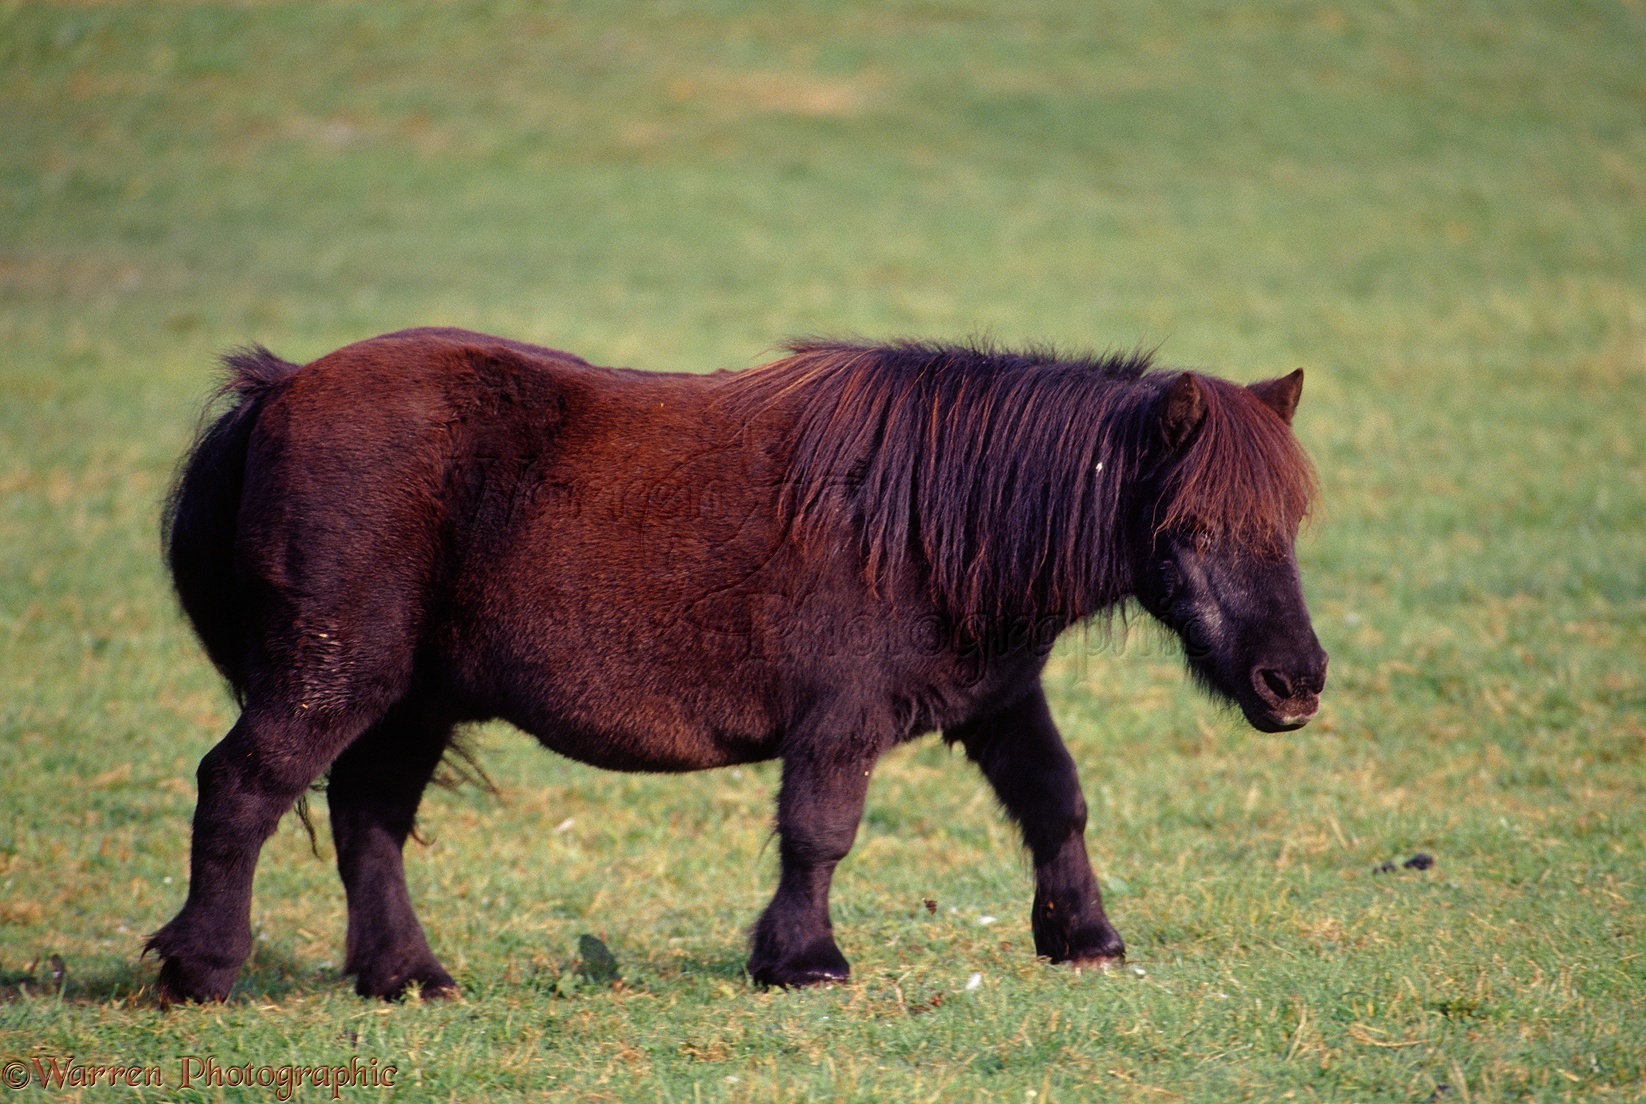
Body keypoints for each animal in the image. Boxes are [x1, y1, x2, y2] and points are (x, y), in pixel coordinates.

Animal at [151, 329, 1323, 1000]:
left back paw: (405, 978)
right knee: (243, 787)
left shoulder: (997, 703)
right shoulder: (841, 722)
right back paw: (201, 970)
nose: (1294, 683)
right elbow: (818, 835)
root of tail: (281, 388)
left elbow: (1055, 804)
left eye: (1289, 522)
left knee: (369, 821)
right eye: (1192, 528)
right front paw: (802, 962)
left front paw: (1084, 938)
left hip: (406, 701)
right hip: (332, 676)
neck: (933, 521)